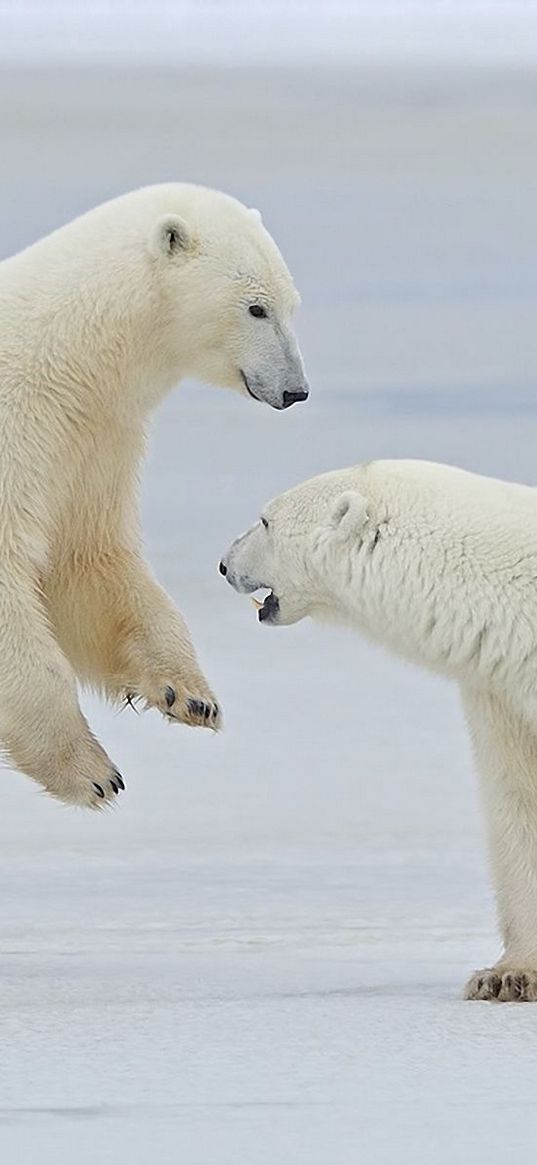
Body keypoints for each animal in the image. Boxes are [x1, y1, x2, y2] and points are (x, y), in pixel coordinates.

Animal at [0, 184, 307, 810]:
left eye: (292, 305)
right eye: (256, 308)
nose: (296, 389)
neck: (67, 353)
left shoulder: (90, 440)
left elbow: (87, 560)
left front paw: (188, 693)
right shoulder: (20, 431)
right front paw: (90, 771)